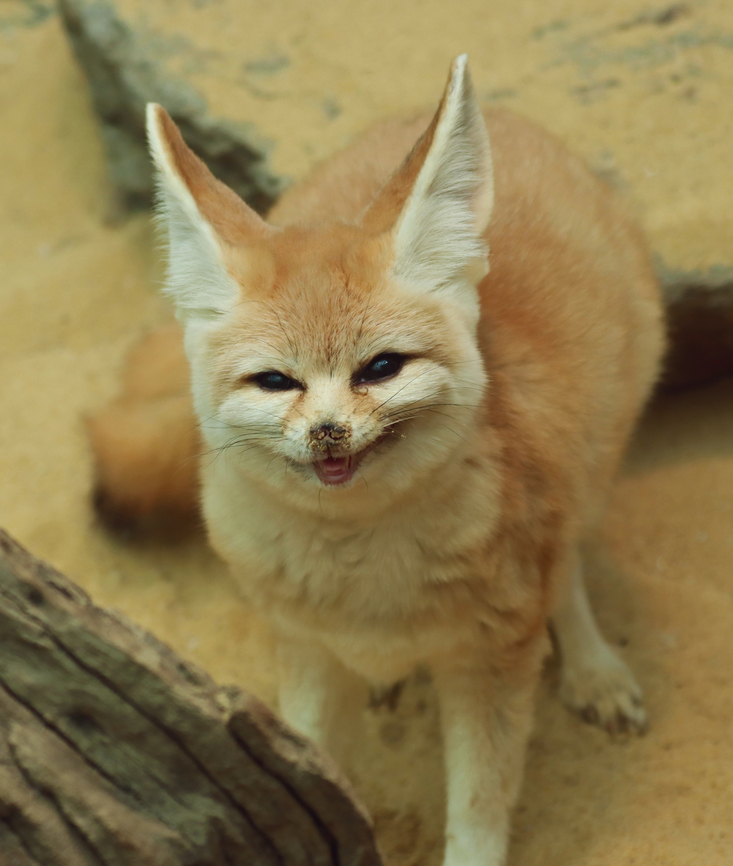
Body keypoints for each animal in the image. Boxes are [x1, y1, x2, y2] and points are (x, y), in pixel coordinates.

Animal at [88, 55, 664, 865]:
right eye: (276, 381)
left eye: (381, 368)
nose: (329, 431)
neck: (358, 574)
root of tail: (514, 119)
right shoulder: (304, 647)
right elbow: (314, 763)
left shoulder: (492, 658)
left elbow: (478, 813)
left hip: (592, 464)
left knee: (571, 562)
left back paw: (590, 665)